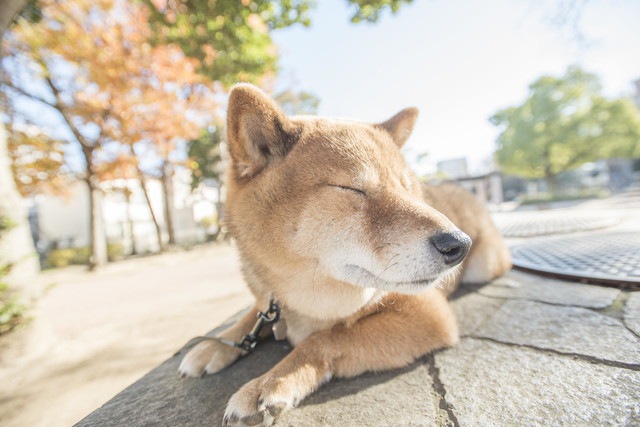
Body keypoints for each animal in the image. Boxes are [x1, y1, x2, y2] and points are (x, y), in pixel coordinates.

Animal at [179, 83, 510, 424]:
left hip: (484, 266)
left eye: (407, 189)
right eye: (353, 189)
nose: (459, 244)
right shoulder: (270, 301)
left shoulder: (428, 313)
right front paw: (214, 346)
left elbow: (326, 338)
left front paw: (270, 382)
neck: (305, 302)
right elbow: (253, 316)